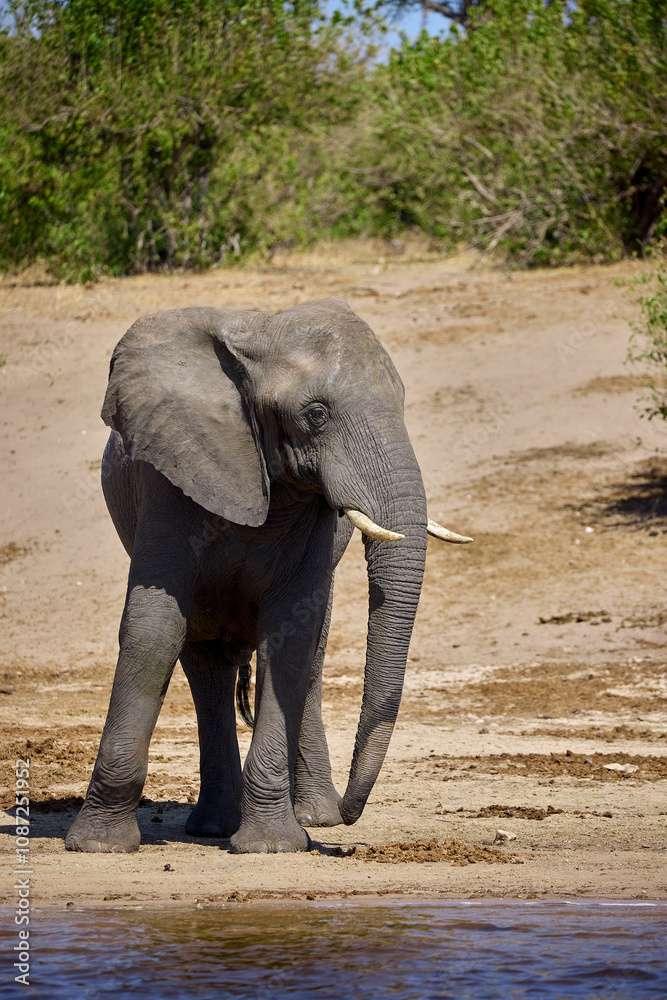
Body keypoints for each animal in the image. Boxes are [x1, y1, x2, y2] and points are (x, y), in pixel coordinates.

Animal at [65, 297, 471, 855]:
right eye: (315, 415)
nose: (351, 818)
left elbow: (291, 637)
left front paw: (272, 845)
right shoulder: (169, 475)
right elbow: (154, 628)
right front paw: (97, 846)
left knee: (311, 656)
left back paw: (309, 817)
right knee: (204, 664)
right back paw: (218, 826)